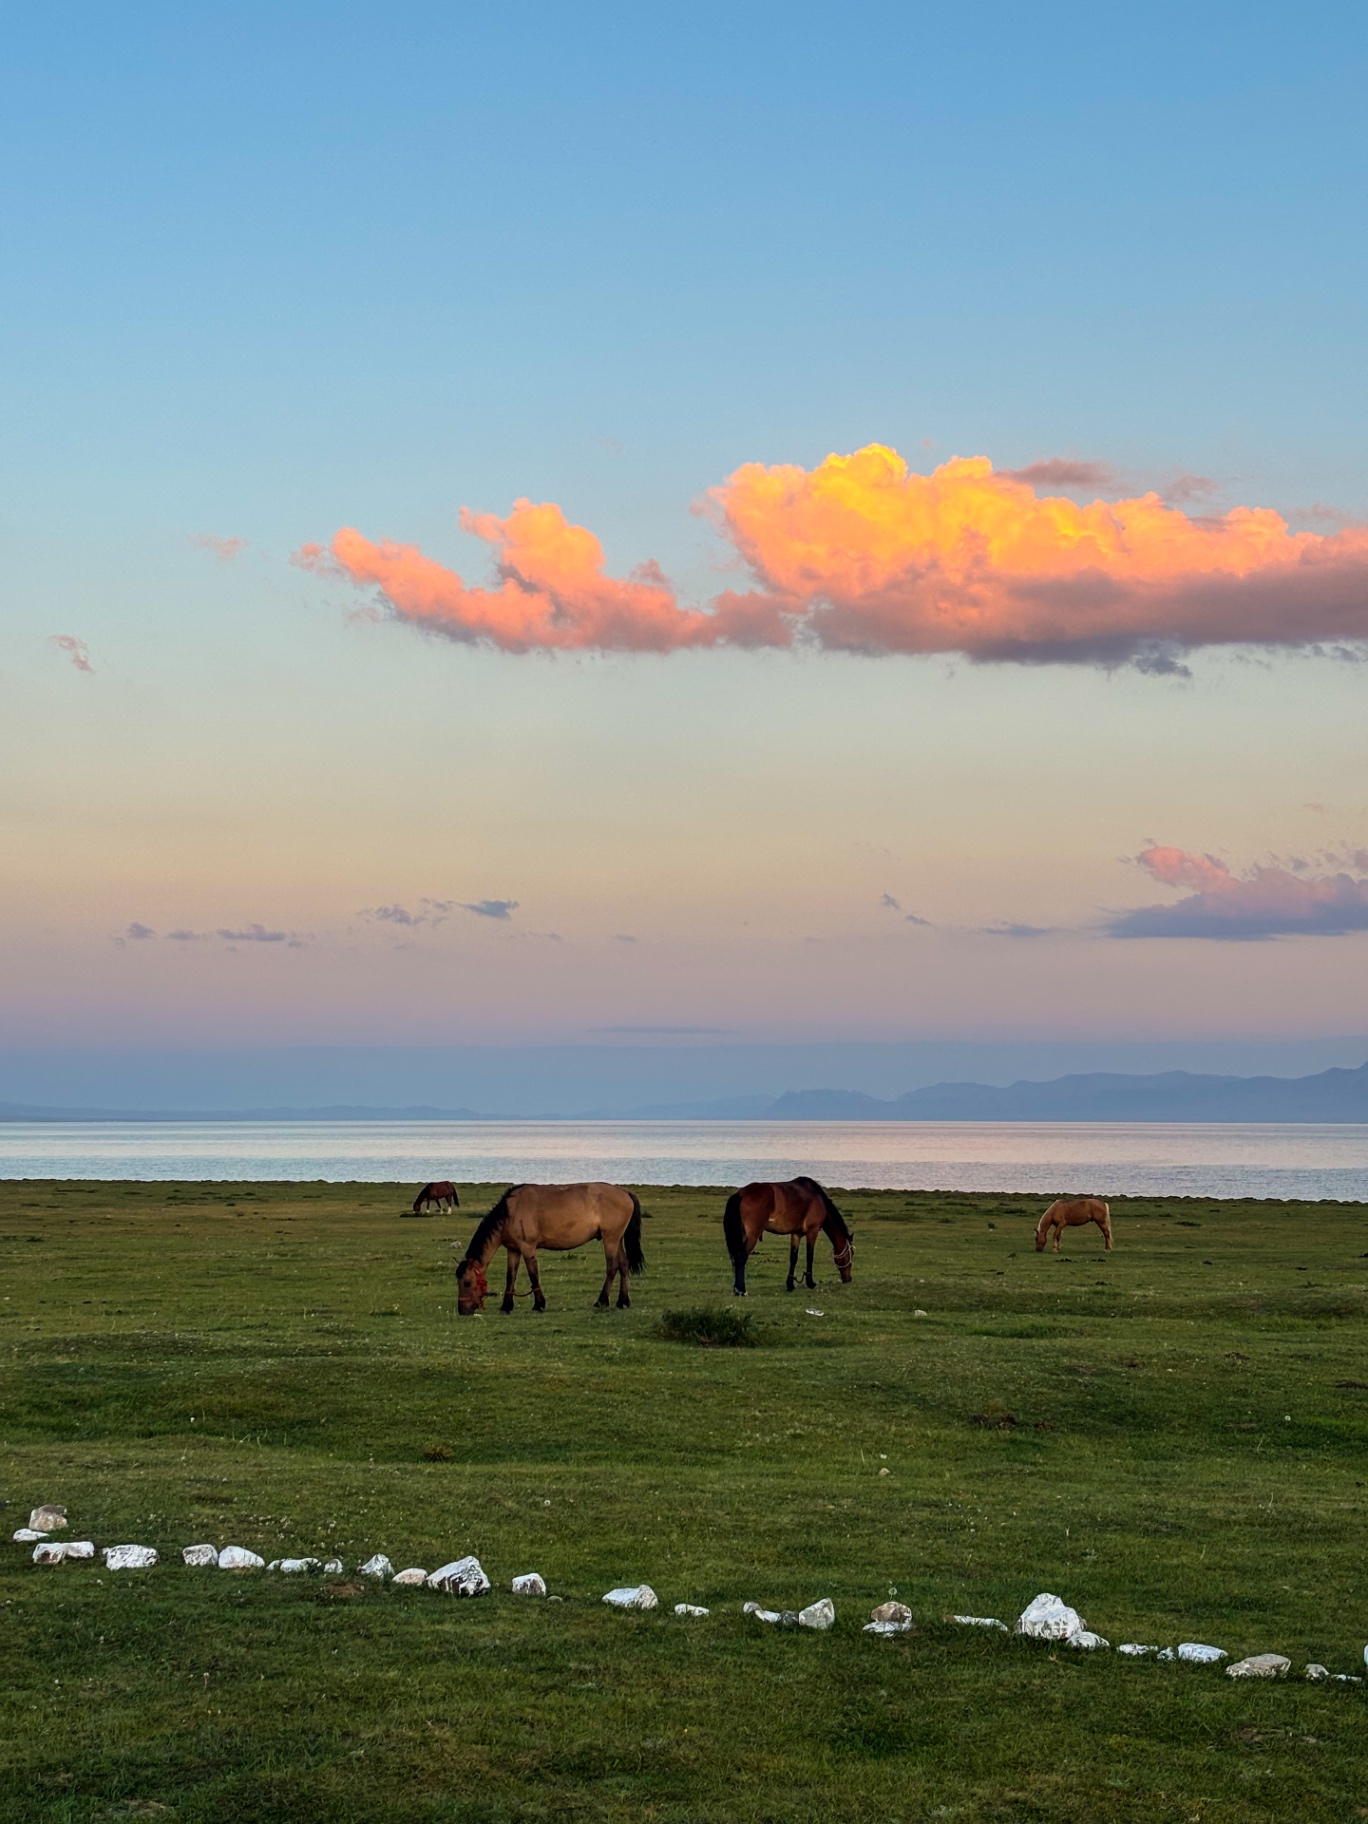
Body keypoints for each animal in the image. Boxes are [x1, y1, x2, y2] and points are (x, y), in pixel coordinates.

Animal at [454, 1182, 646, 1315]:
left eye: (467, 1282)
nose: (462, 1310)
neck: (510, 1213)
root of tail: (624, 1192)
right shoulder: (513, 1250)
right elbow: (511, 1276)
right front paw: (506, 1306)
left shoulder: (528, 1248)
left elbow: (533, 1274)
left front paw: (539, 1304)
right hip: (616, 1239)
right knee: (623, 1265)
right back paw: (622, 1301)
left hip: (610, 1239)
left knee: (612, 1267)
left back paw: (602, 1300)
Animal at [722, 1176, 853, 1297]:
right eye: (851, 1254)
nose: (848, 1279)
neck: (817, 1198)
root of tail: (740, 1193)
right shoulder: (813, 1232)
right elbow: (810, 1257)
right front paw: (810, 1282)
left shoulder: (796, 1234)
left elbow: (793, 1258)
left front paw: (790, 1284)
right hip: (752, 1236)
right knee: (741, 1258)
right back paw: (742, 1290)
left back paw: (737, 1289)